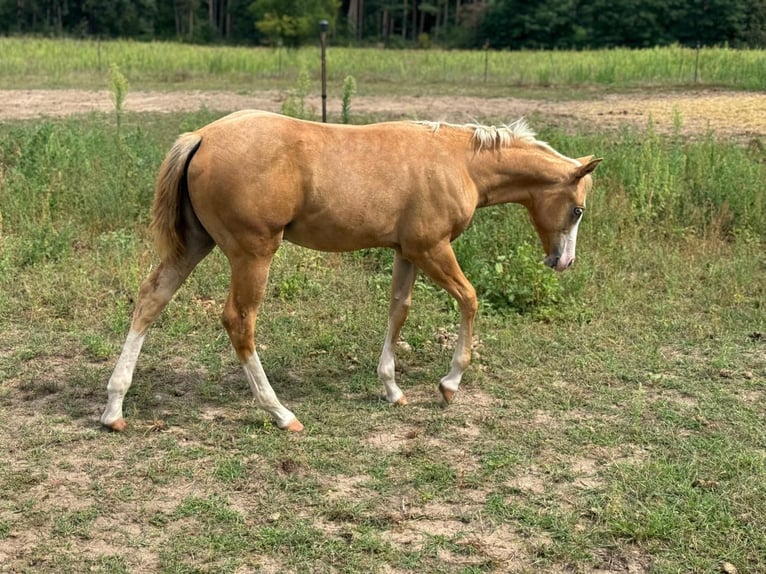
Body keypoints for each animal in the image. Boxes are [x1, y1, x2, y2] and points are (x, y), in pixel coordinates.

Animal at [99, 111, 604, 432]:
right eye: (578, 210)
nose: (563, 262)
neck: (458, 161)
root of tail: (201, 136)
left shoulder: (407, 251)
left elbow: (398, 309)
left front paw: (392, 388)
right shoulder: (432, 248)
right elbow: (469, 298)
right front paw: (449, 384)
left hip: (196, 243)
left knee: (151, 299)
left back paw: (114, 408)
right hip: (252, 253)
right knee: (239, 321)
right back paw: (280, 413)